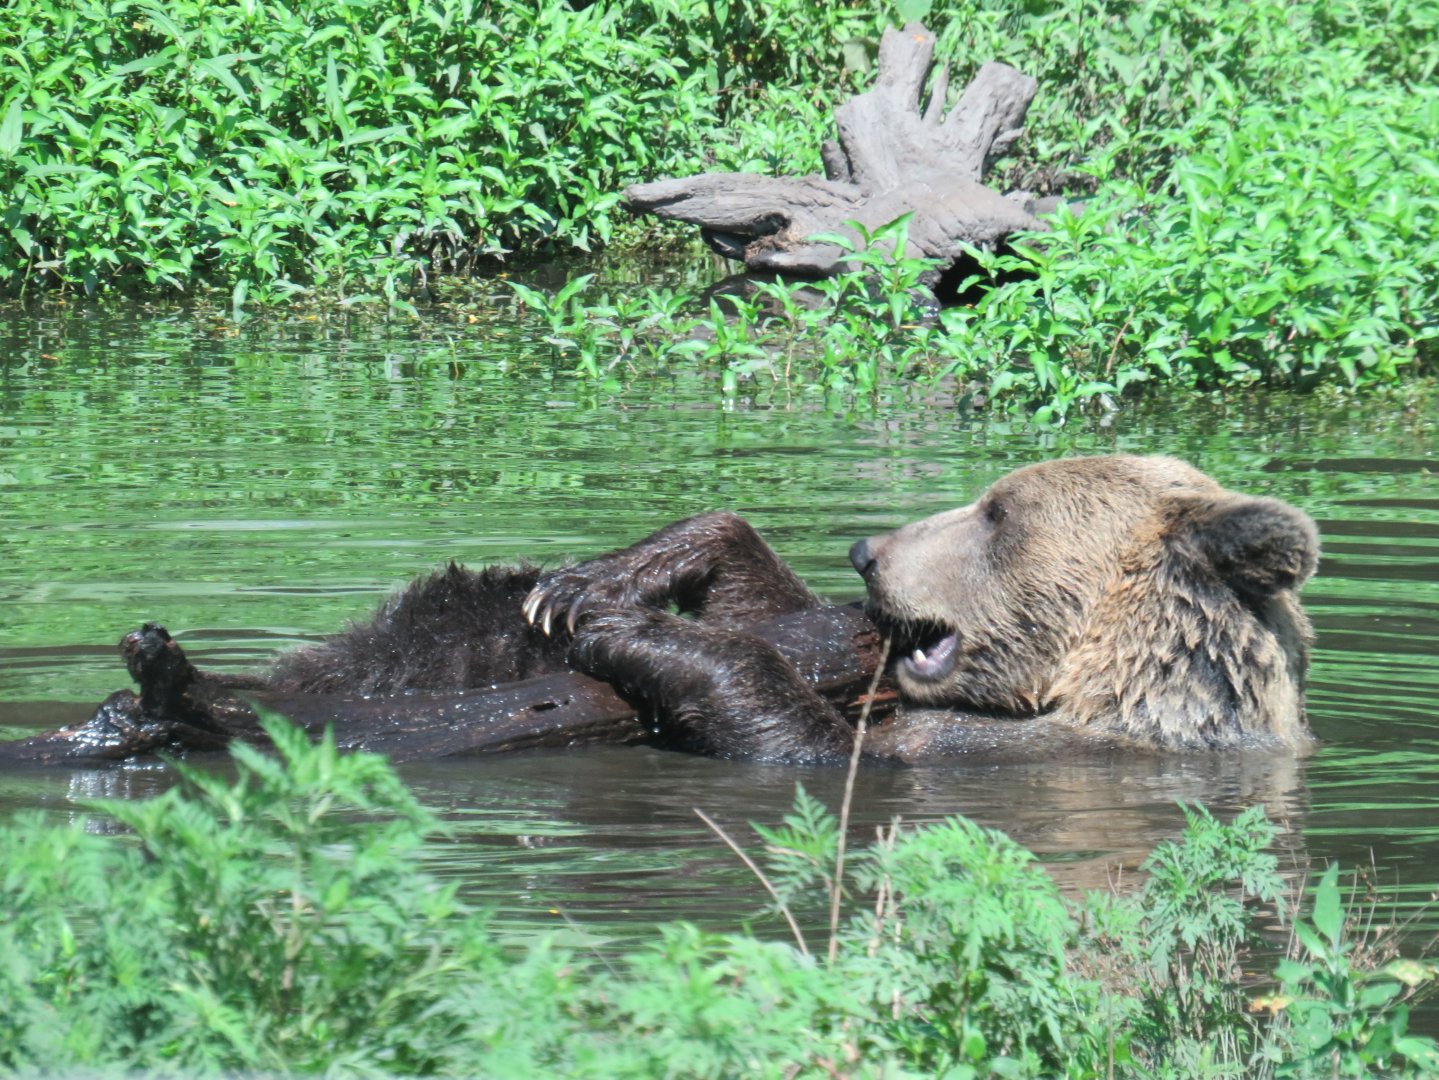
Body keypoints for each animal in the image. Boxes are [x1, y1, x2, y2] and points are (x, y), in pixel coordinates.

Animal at [104, 454, 1320, 764]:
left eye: (995, 511)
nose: (868, 550)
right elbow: (753, 582)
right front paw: (589, 585)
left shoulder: (972, 752)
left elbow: (799, 738)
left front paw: (634, 630)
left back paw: (179, 687)